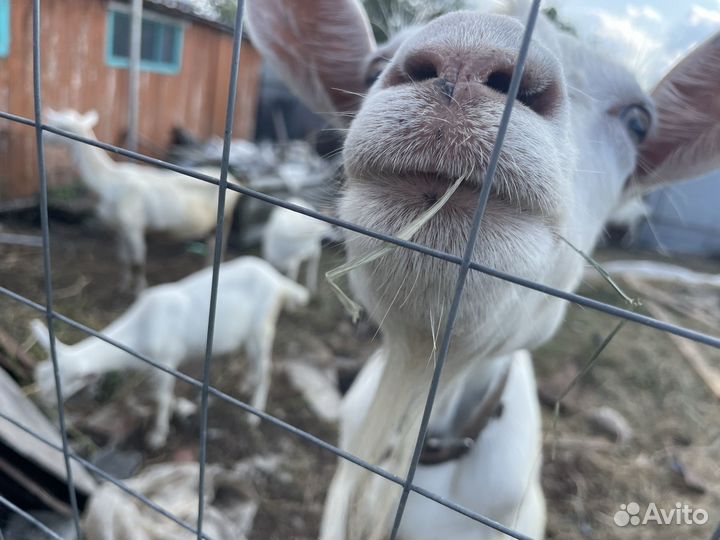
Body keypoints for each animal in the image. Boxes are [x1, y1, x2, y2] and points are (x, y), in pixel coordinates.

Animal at [33, 256, 310, 448]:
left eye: (59, 382)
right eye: (39, 376)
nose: (43, 404)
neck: (141, 329)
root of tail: (277, 280)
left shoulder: (166, 362)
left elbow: (162, 397)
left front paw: (157, 436)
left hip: (261, 329)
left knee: (266, 368)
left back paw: (254, 414)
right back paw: (246, 384)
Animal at [43, 109, 243, 293]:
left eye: (62, 125)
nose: (44, 133)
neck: (107, 181)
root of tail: (234, 180)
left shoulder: (134, 226)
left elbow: (138, 262)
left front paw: (139, 291)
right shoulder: (120, 227)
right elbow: (123, 258)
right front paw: (123, 285)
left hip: (226, 218)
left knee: (219, 248)